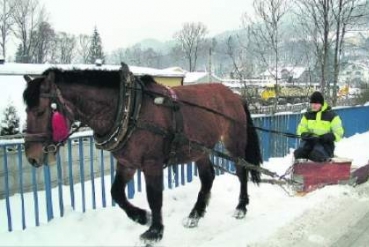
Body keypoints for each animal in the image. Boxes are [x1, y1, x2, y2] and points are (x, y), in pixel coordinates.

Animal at [22, 63, 262, 243]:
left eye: (40, 111)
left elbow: (154, 196)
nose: (32, 157)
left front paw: (155, 231)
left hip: (234, 142)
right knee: (208, 177)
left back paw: (241, 207)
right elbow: (116, 192)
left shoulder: (152, 163)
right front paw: (140, 216)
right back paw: (195, 214)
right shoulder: (127, 163)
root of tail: (235, 95)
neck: (128, 109)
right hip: (199, 148)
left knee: (241, 171)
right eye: (26, 110)